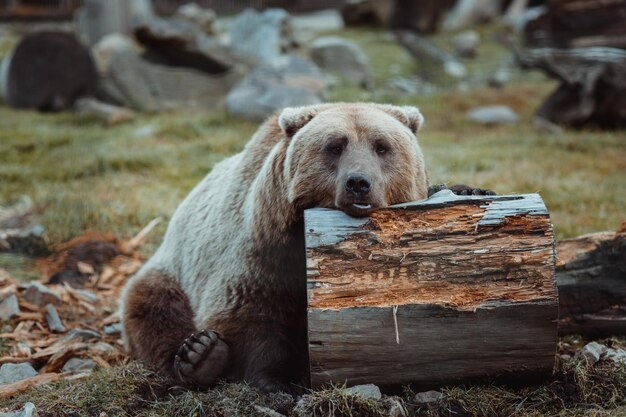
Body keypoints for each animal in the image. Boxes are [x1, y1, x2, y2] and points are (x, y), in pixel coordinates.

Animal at [118, 102, 488, 392]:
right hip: (171, 270)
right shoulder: (262, 250)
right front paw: (274, 382)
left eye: (382, 146)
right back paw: (199, 355)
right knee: (154, 310)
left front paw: (470, 190)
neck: (301, 238)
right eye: (335, 146)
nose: (358, 183)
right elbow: (247, 310)